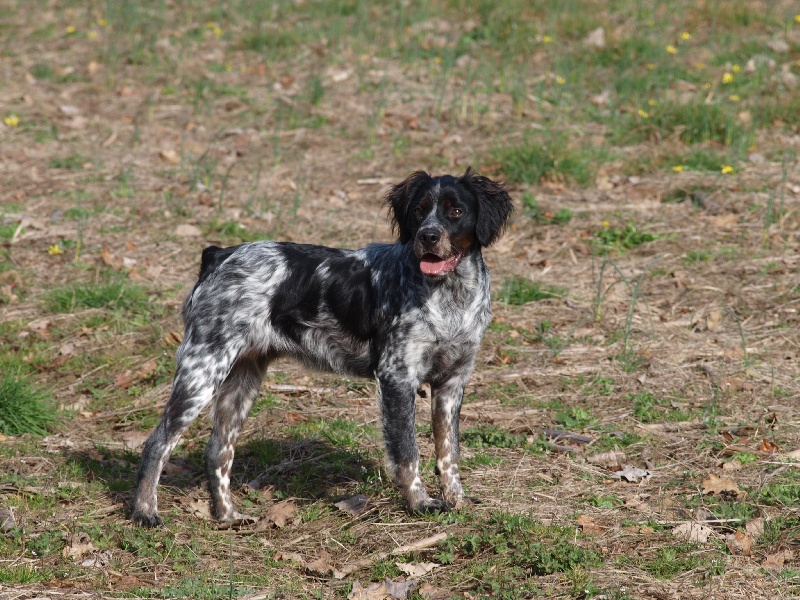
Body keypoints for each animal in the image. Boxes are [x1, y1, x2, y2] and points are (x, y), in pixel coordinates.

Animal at [128, 168, 510, 524]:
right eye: (418, 211)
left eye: (456, 211)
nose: (427, 236)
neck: (450, 298)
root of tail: (218, 256)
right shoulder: (397, 377)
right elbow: (408, 452)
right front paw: (419, 503)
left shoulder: (451, 384)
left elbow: (449, 452)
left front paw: (457, 500)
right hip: (203, 371)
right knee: (158, 442)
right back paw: (145, 511)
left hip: (242, 380)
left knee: (218, 450)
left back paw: (228, 515)